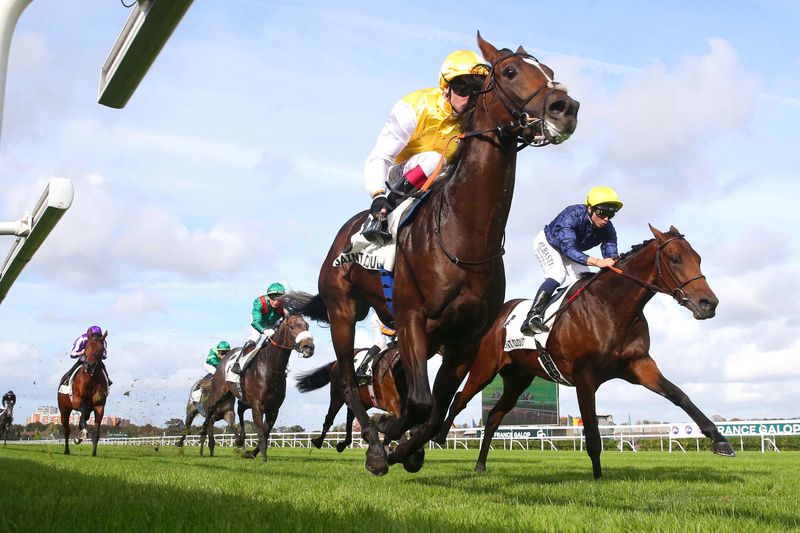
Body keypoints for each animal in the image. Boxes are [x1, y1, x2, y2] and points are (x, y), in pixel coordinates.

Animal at [202, 310, 314, 460]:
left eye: (307, 326)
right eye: (292, 327)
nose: (309, 347)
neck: (270, 367)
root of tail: (225, 358)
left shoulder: (274, 408)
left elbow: (266, 432)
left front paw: (252, 453)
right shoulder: (257, 406)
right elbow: (260, 431)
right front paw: (264, 459)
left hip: (243, 398)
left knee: (240, 409)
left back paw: (239, 439)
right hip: (219, 392)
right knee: (210, 410)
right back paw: (205, 439)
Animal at [296, 33, 580, 474]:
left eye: (549, 71)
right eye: (510, 71)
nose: (565, 108)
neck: (465, 234)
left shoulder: (465, 339)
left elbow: (435, 411)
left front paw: (407, 448)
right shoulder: (412, 318)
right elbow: (418, 403)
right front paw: (387, 439)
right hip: (344, 311)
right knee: (347, 381)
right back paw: (373, 443)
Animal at [434, 225, 736, 478]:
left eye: (698, 257)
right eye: (674, 259)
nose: (709, 303)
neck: (611, 307)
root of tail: (496, 316)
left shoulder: (639, 365)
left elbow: (679, 396)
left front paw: (720, 440)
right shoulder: (584, 376)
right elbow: (591, 430)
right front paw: (598, 478)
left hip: (518, 379)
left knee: (495, 415)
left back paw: (480, 464)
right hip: (486, 368)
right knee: (460, 398)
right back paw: (438, 435)